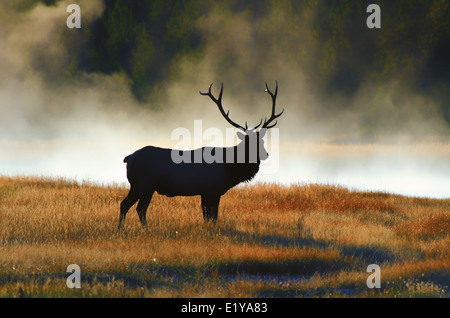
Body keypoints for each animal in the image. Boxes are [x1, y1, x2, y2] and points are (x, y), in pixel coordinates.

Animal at [118, 80, 284, 227]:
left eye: (262, 141)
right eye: (249, 142)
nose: (266, 154)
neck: (229, 168)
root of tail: (128, 158)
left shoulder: (213, 192)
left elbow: (212, 216)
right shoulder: (209, 189)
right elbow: (209, 216)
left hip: (138, 185)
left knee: (125, 204)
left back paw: (121, 228)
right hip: (145, 184)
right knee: (139, 208)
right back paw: (144, 228)